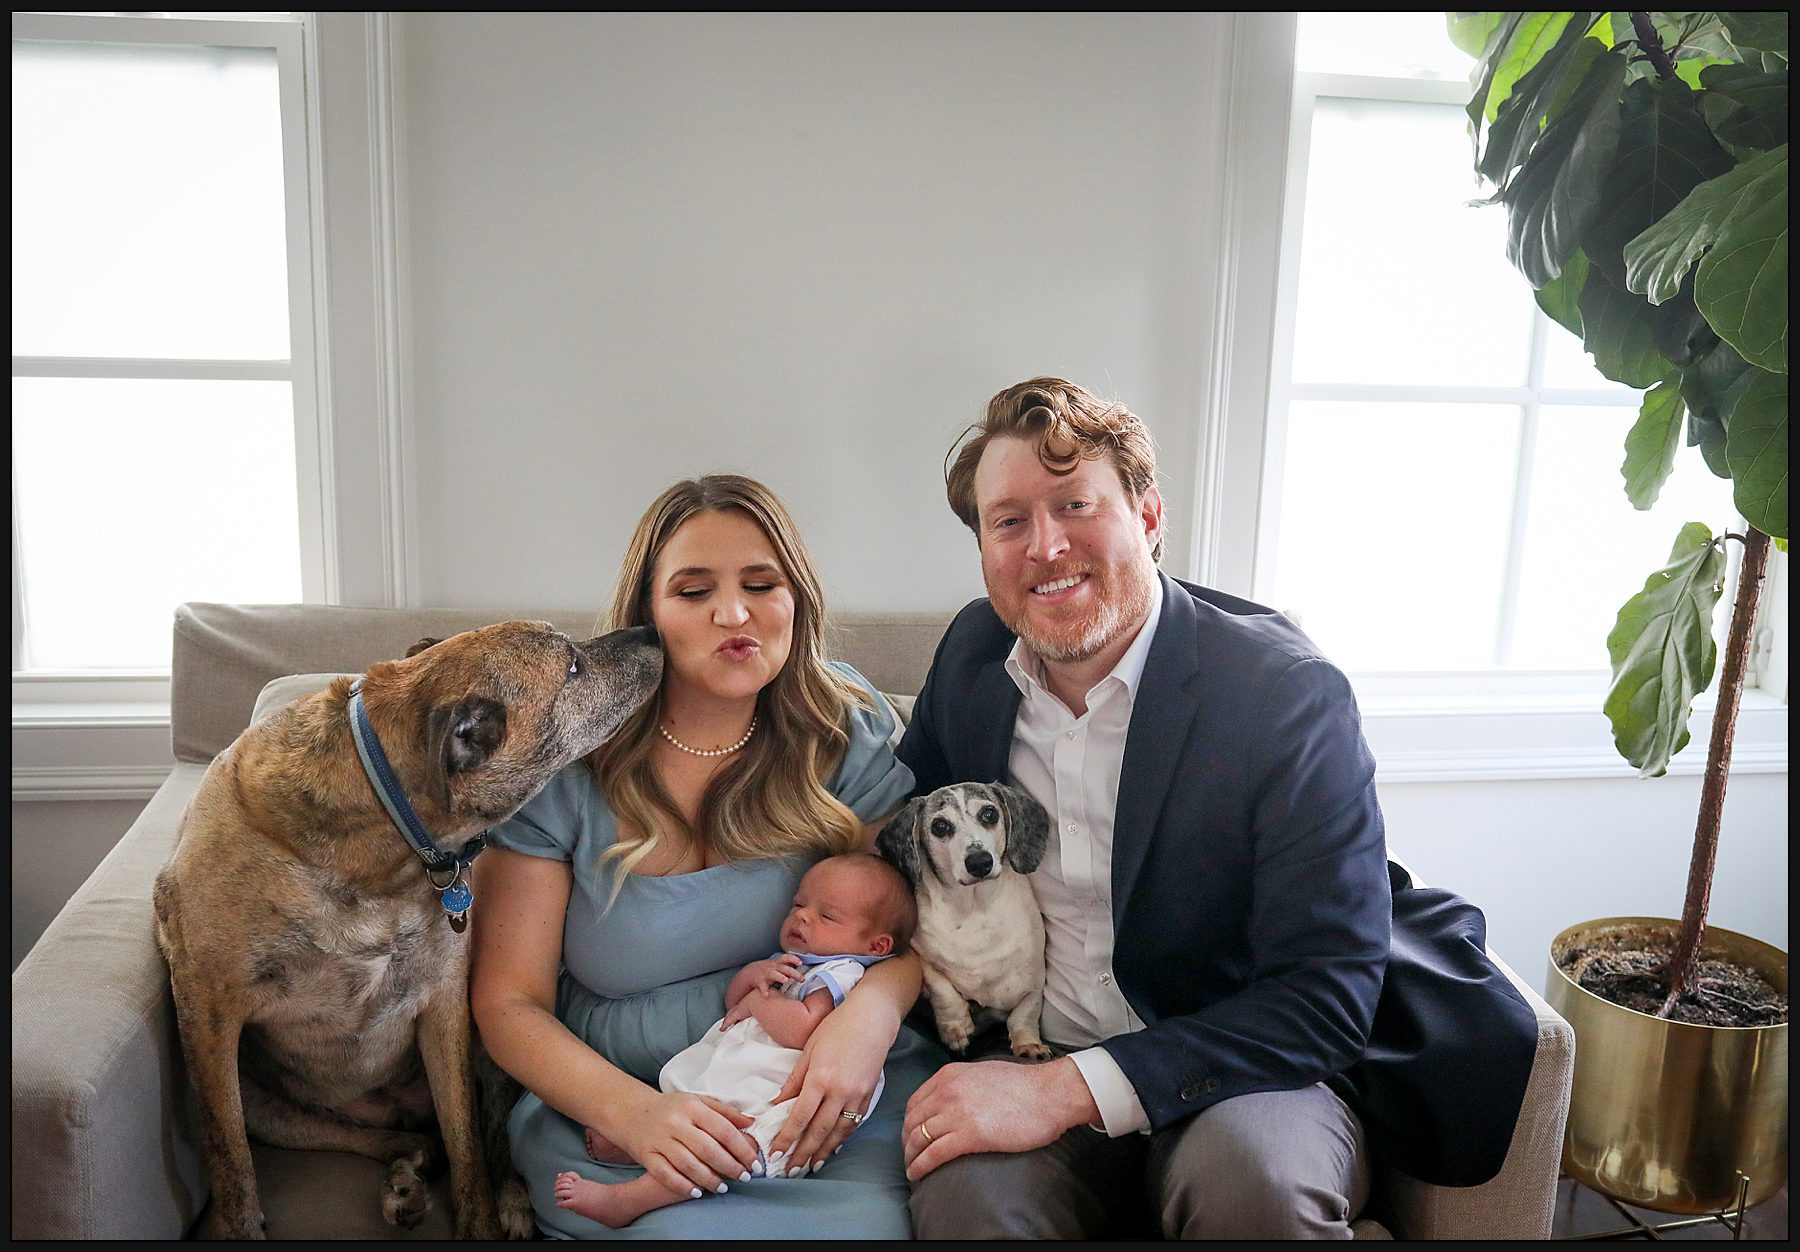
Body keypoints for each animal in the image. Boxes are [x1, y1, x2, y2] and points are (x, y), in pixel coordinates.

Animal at [154, 622, 662, 1237]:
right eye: (572, 668)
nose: (651, 631)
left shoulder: (444, 1002)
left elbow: (467, 1141)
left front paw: (481, 1221)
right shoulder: (208, 1010)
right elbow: (230, 1160)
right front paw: (241, 1226)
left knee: (480, 1134)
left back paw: (501, 1196)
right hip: (260, 1100)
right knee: (368, 1137)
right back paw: (403, 1174)